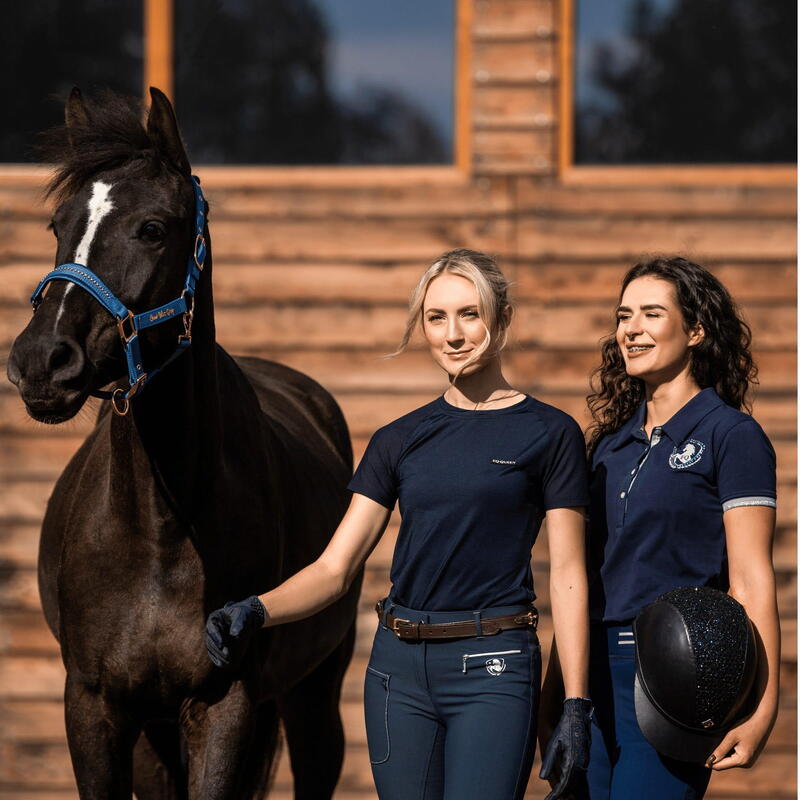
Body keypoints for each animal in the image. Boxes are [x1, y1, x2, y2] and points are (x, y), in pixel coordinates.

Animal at [5, 84, 362, 796]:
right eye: (59, 227)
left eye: (152, 228)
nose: (40, 361)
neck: (159, 526)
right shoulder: (97, 706)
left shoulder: (225, 705)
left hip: (314, 698)